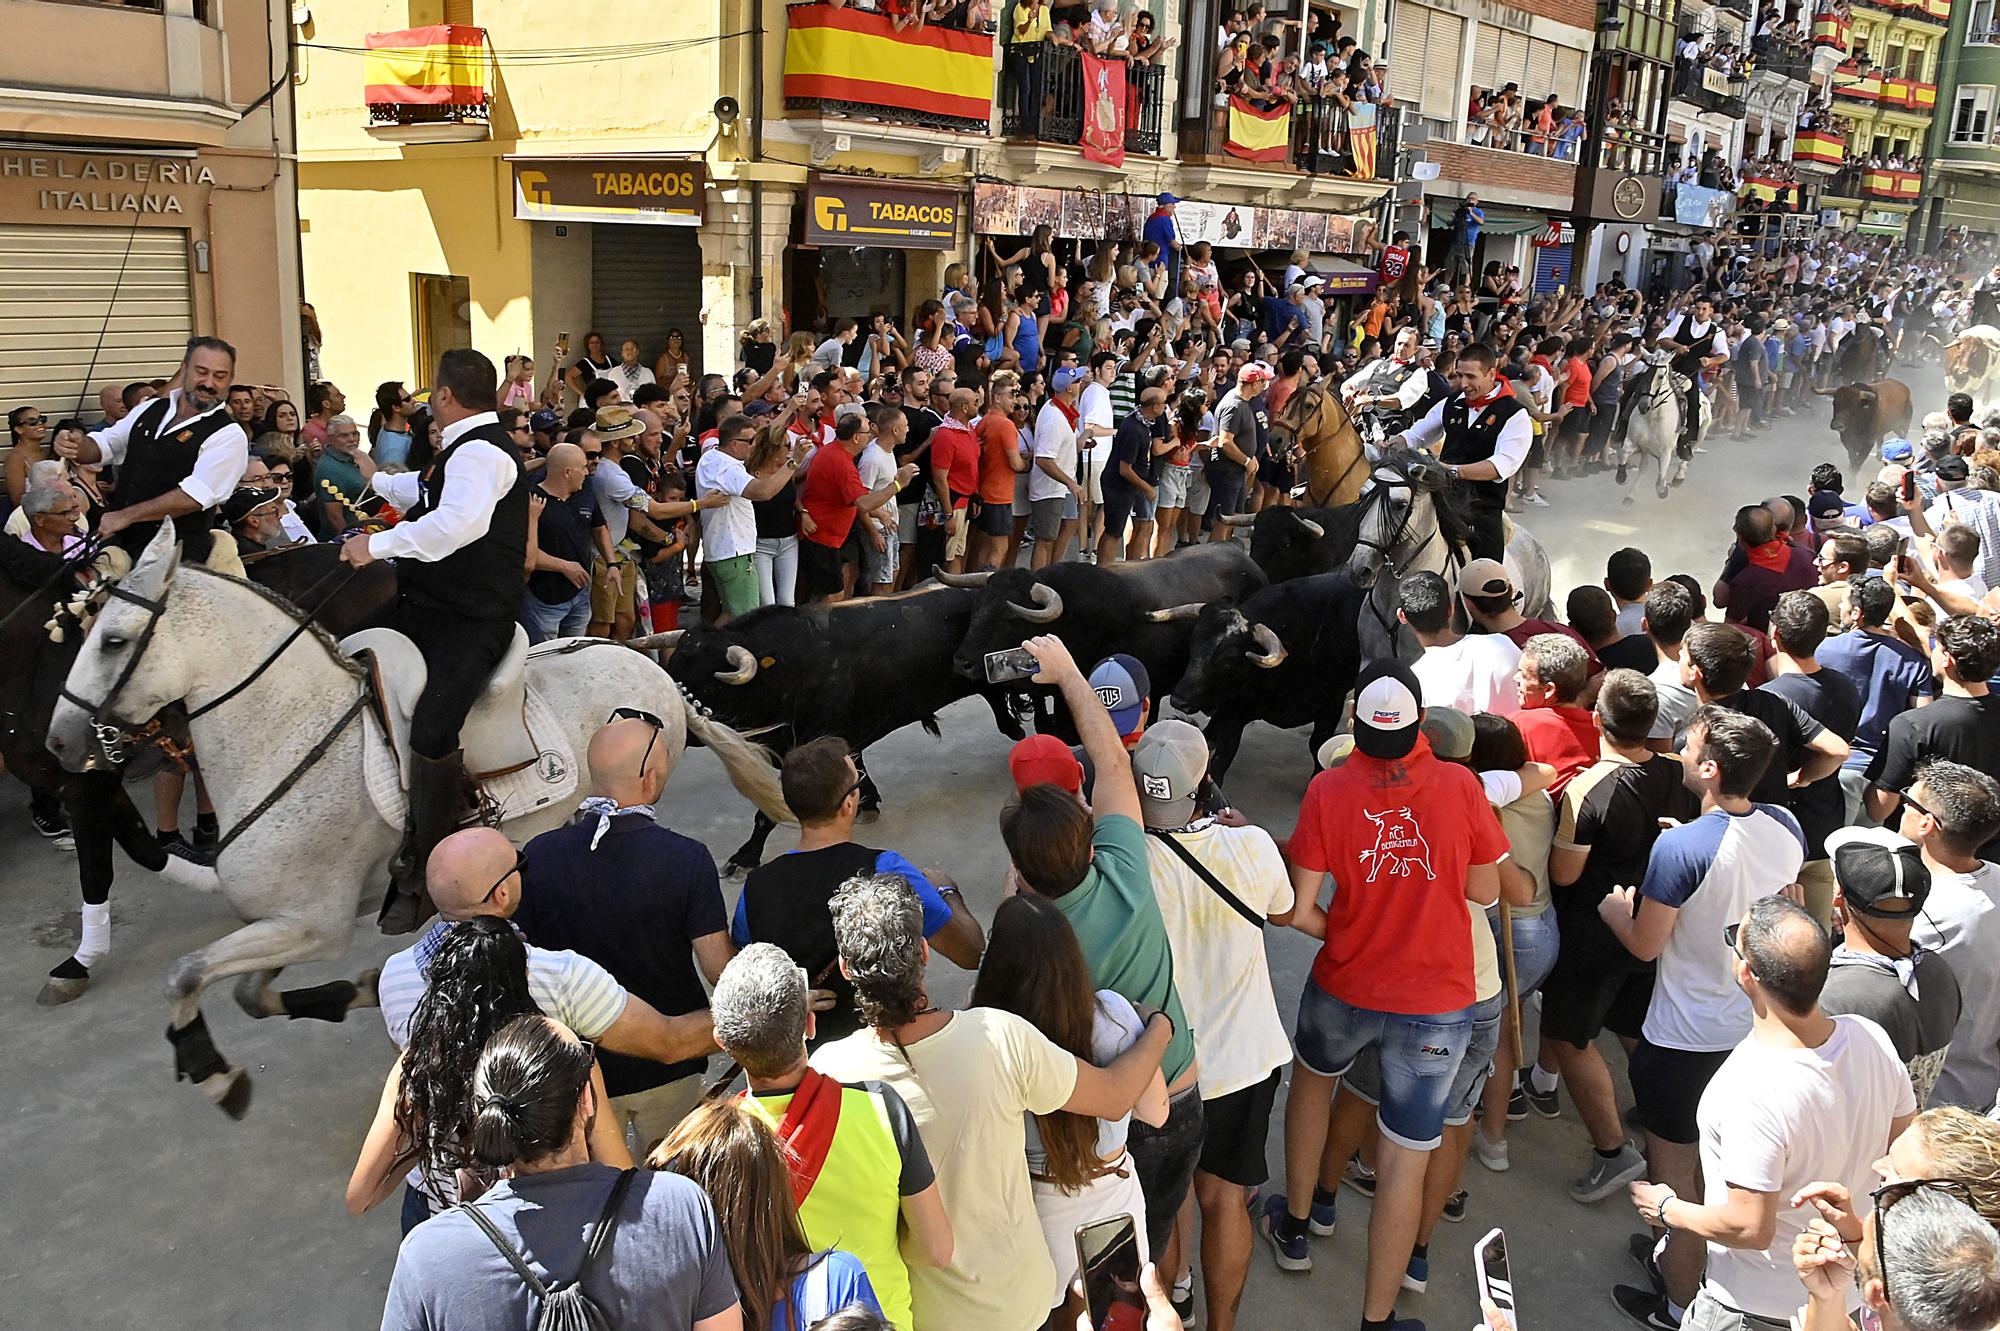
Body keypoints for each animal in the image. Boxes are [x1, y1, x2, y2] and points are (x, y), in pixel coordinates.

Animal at [43, 519, 784, 1111]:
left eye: (113, 641)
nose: (59, 744)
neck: (291, 728)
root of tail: (643, 660)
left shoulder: (313, 924)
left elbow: (190, 972)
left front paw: (213, 1072)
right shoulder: (291, 920)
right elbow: (249, 993)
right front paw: (358, 992)